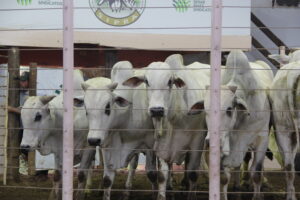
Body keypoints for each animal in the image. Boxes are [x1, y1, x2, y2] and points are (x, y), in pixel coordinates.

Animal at [82, 61, 157, 200]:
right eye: (85, 109)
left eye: (107, 107)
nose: (93, 140)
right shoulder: (108, 145)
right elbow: (107, 179)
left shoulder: (150, 145)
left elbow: (152, 174)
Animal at [123, 54, 210, 200]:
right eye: (147, 81)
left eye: (170, 81)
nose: (157, 110)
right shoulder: (161, 145)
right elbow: (162, 175)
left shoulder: (197, 142)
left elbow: (193, 173)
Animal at [200, 50, 274, 200]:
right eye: (205, 110)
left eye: (229, 109)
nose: (210, 141)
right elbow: (223, 177)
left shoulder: (262, 138)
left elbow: (256, 173)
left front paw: (257, 195)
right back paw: (238, 183)